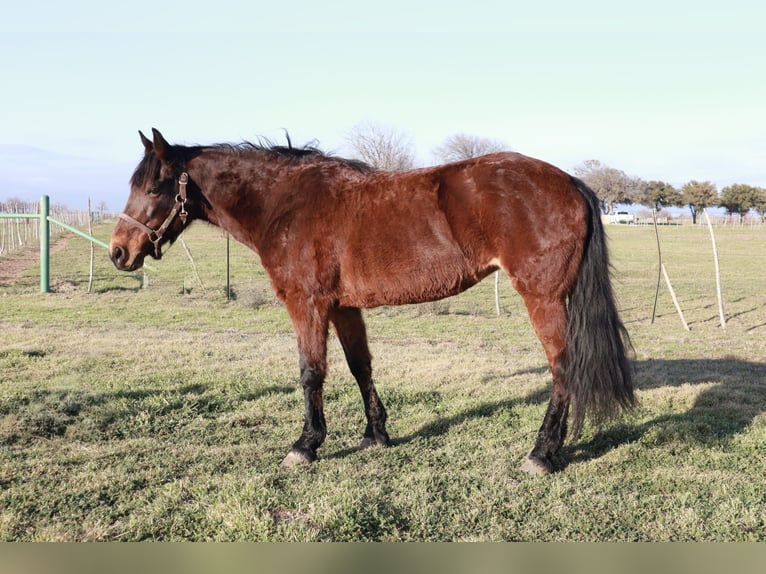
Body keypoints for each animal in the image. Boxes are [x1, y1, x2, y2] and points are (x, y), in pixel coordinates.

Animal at [109, 130, 636, 476]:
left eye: (153, 187)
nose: (119, 252)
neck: (286, 203)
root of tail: (570, 182)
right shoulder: (343, 306)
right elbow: (359, 364)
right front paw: (376, 435)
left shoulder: (307, 303)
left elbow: (311, 372)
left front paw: (306, 445)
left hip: (542, 298)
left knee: (563, 368)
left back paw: (541, 455)